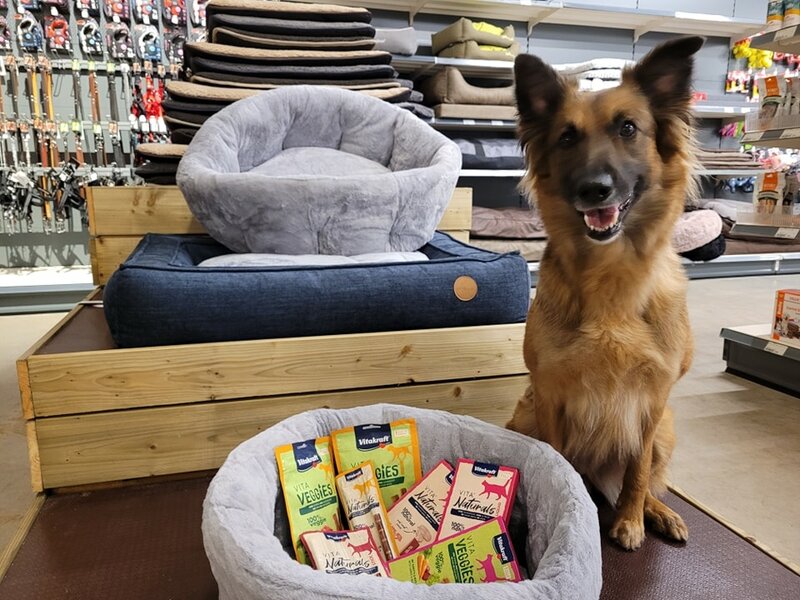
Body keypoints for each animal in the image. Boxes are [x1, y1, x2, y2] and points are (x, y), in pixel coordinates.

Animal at [506, 36, 703, 550]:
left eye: (628, 128)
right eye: (566, 138)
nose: (593, 190)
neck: (610, 277)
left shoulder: (652, 403)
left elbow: (637, 471)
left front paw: (631, 522)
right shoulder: (550, 396)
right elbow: (555, 460)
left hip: (666, 429)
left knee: (645, 476)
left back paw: (657, 512)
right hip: (525, 415)